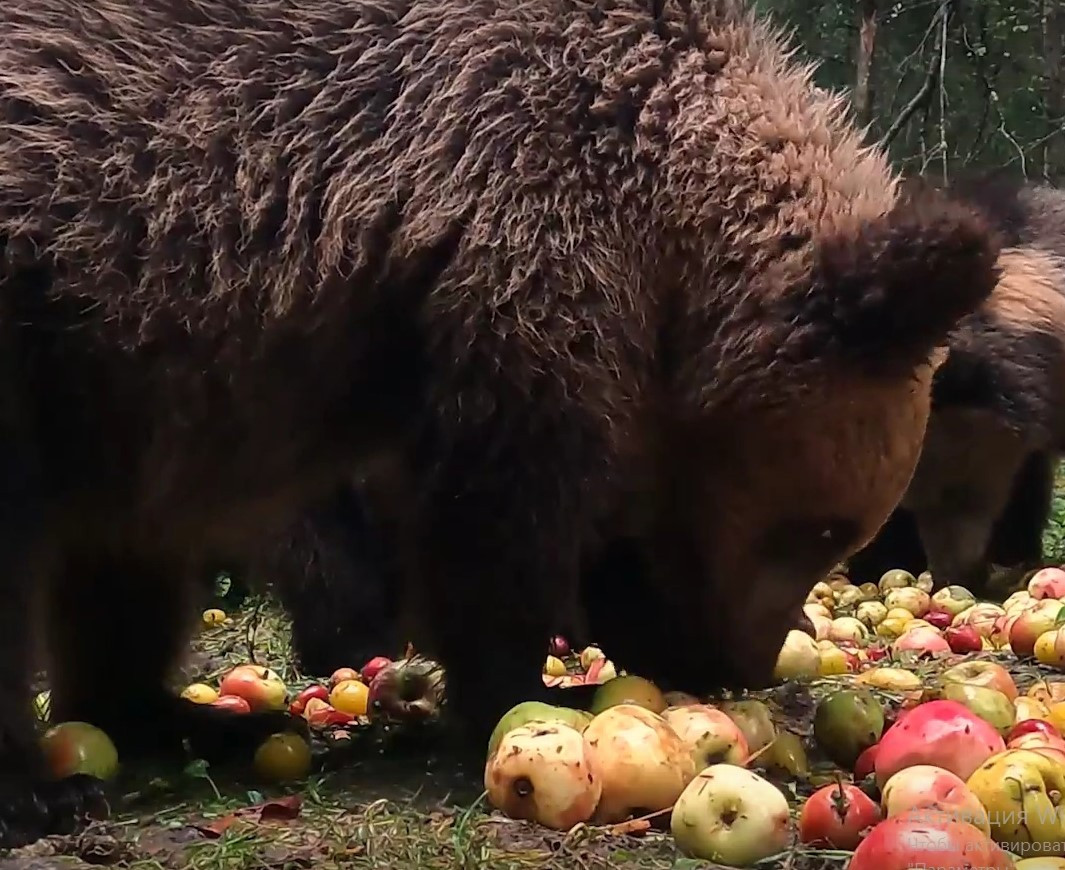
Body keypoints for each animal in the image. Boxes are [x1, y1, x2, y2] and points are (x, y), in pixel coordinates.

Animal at [0, 0, 996, 843]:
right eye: (823, 528)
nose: (741, 661)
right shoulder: (508, 257)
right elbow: (493, 526)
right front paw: (526, 696)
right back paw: (49, 788)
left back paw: (182, 718)